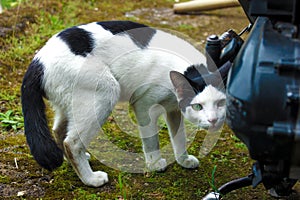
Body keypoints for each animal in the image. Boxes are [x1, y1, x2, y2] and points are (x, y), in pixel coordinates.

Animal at [21, 19, 230, 187]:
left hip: (71, 104)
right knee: (71, 143)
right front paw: (154, 164)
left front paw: (183, 160)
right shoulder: (144, 105)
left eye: (221, 103)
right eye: (198, 106)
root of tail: (38, 61)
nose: (213, 121)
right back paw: (90, 179)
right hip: (105, 92)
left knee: (59, 130)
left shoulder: (173, 109)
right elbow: (151, 139)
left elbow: (179, 137)